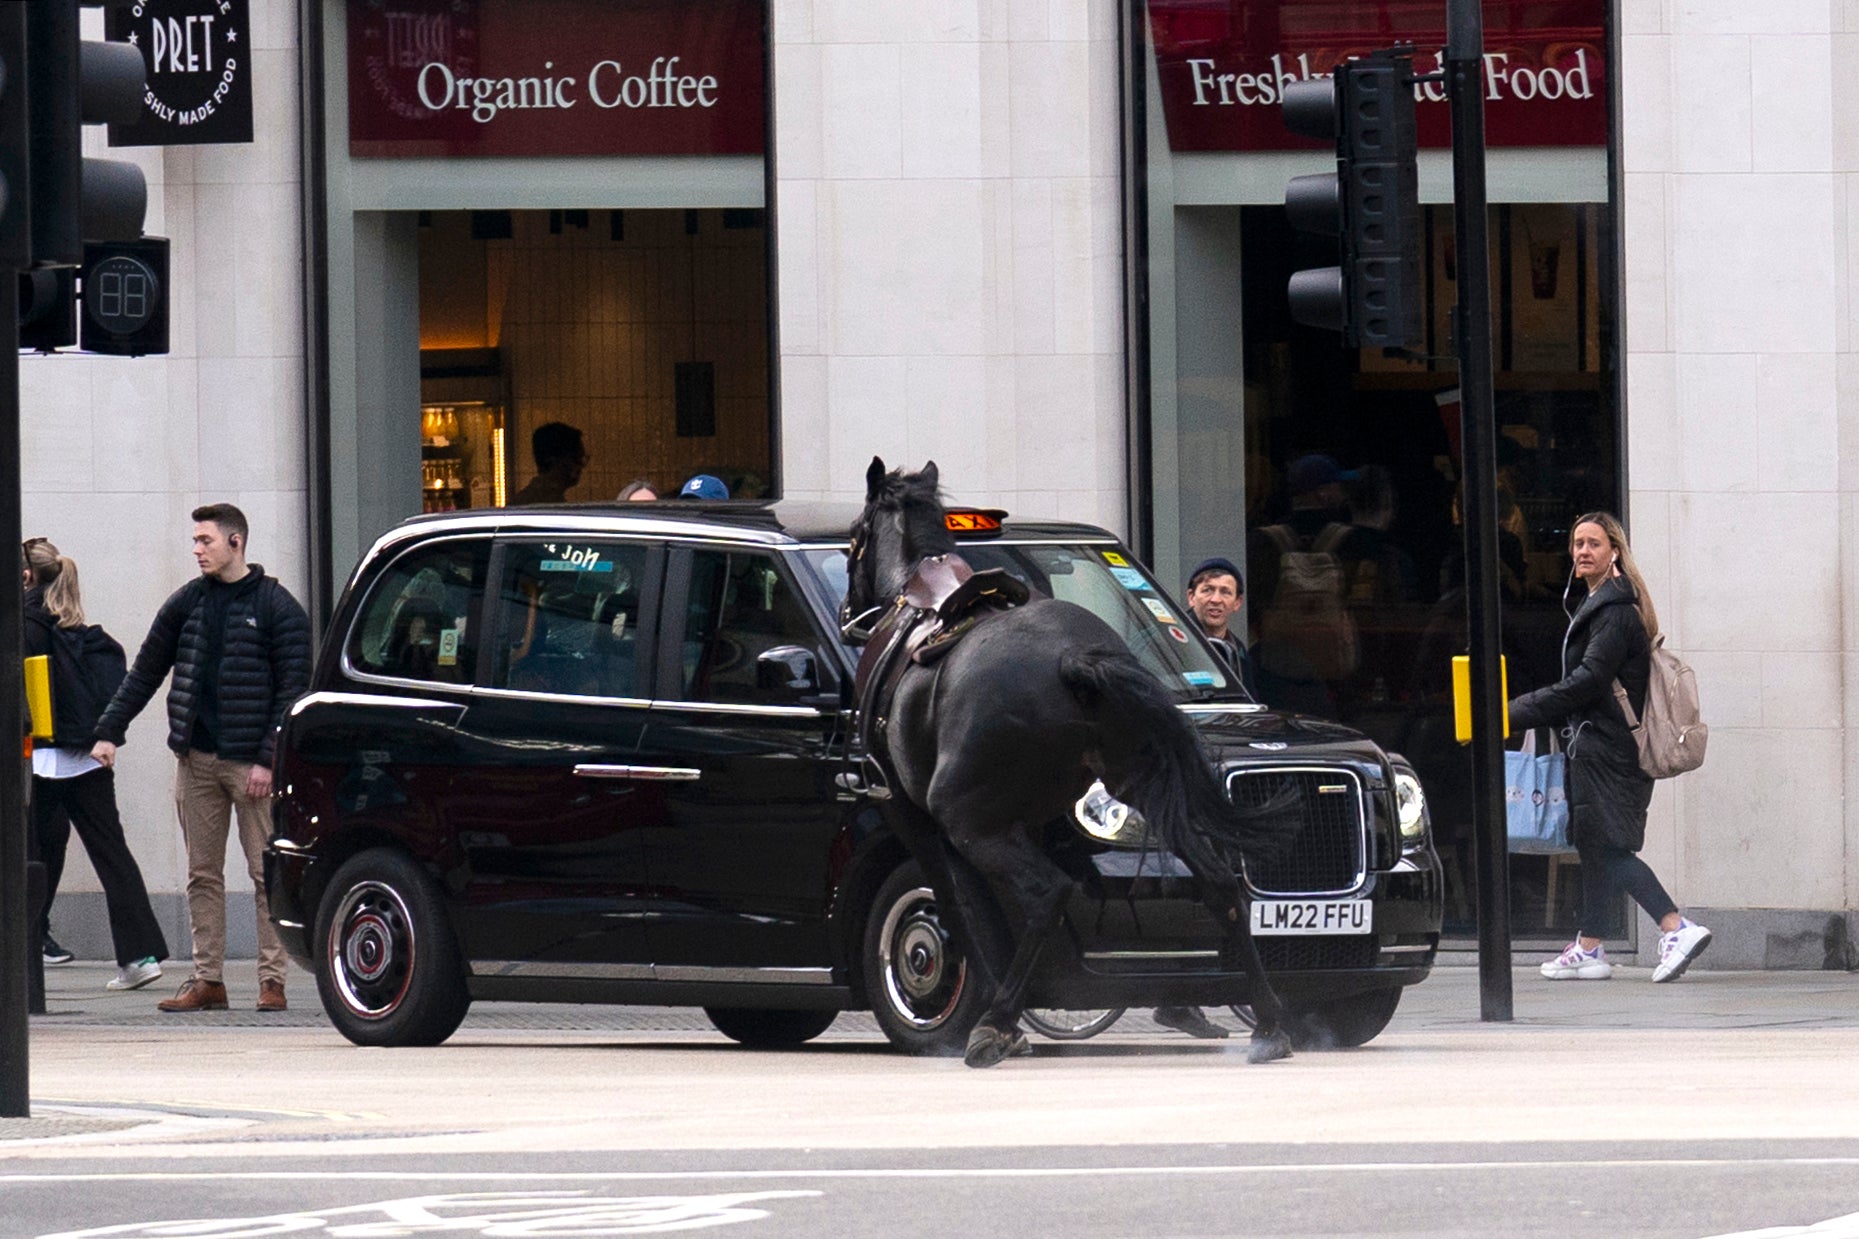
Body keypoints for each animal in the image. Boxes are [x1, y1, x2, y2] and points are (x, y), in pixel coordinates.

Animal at [840, 457, 1293, 1064]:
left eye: (853, 538)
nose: (847, 611)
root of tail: (1074, 658)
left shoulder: (913, 815)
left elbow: (959, 905)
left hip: (966, 816)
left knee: (1043, 893)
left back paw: (996, 1023)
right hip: (1143, 787)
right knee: (1220, 882)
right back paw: (1268, 1022)